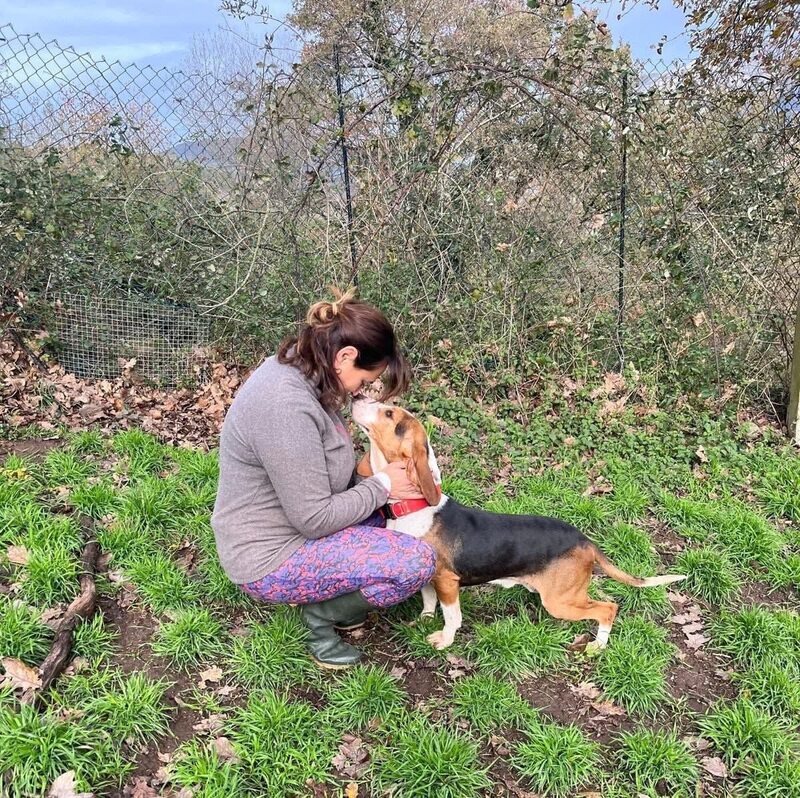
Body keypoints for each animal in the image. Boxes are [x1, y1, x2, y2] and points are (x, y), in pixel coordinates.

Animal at [351, 397, 685, 652]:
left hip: (560, 601)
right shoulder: (430, 577)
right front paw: (424, 618)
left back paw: (598, 646)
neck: (412, 506)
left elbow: (452, 616)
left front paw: (444, 640)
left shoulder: (447, 580)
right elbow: (429, 600)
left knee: (608, 608)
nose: (355, 397)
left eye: (390, 413)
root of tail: (585, 540)